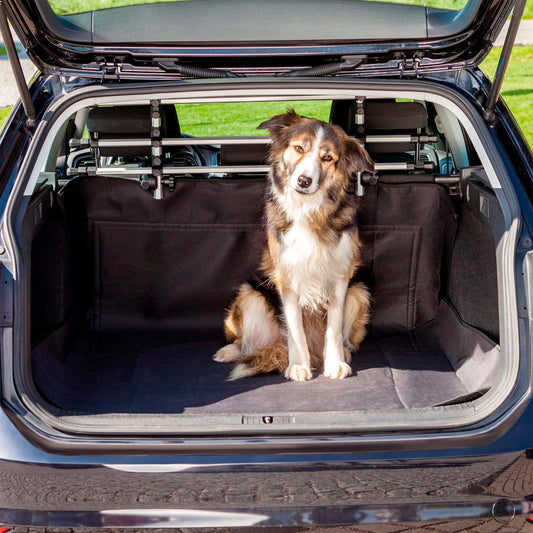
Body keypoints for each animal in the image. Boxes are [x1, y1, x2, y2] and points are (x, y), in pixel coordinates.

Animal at [214, 108, 372, 380]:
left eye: (327, 158)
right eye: (298, 148)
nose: (304, 181)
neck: (309, 210)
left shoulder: (340, 277)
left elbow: (334, 327)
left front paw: (335, 363)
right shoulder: (287, 278)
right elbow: (295, 330)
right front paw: (298, 365)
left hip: (359, 292)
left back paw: (340, 352)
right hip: (249, 295)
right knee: (245, 344)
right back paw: (229, 352)